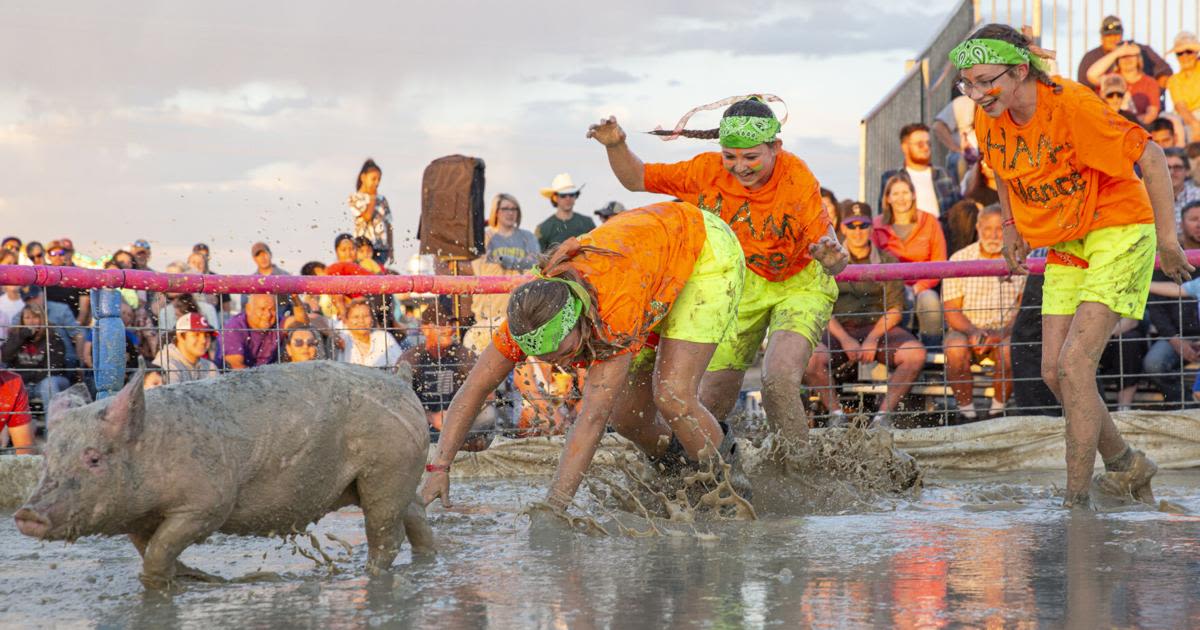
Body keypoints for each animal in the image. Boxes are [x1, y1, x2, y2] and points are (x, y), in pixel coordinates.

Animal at [11, 357, 434, 590]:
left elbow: (159, 550)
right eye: (48, 457)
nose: (26, 514)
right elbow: (147, 548)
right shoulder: (135, 516)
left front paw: (164, 585)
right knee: (415, 515)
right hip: (397, 475)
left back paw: (368, 573)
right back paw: (427, 558)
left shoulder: (207, 503)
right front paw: (191, 578)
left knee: (386, 533)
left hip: (386, 470)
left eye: (94, 458)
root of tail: (400, 381)